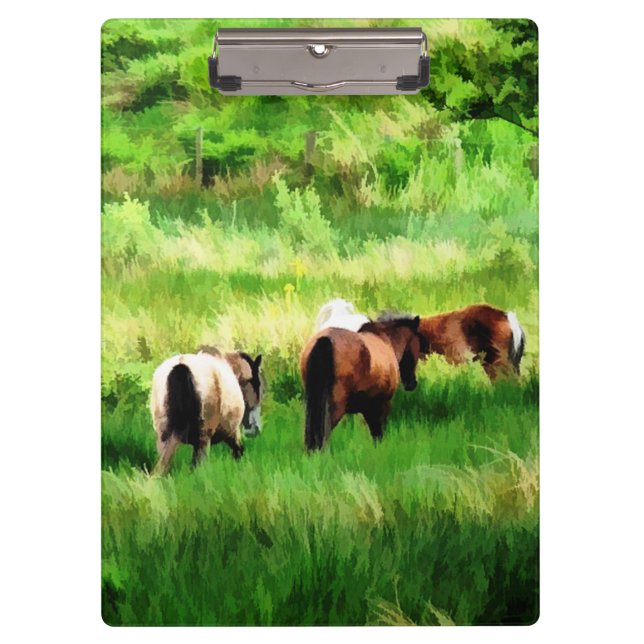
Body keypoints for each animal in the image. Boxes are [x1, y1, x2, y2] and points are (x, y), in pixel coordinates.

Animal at [300, 313, 427, 451]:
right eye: (418, 345)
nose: (412, 383)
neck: (386, 341)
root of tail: (325, 340)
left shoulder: (368, 409)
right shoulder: (382, 405)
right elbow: (378, 434)